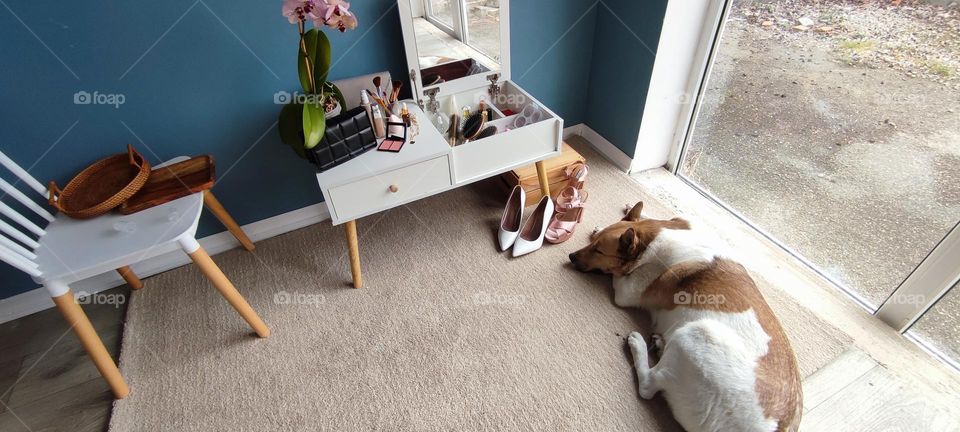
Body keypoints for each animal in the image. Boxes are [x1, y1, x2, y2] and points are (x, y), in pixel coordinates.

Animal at [568, 202, 804, 432]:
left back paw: (639, 345)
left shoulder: (628, 291)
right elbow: (655, 218)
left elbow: (621, 274)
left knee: (648, 386)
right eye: (594, 244)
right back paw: (660, 344)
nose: (571, 257)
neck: (653, 241)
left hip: (698, 334)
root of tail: (778, 427)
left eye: (598, 251)